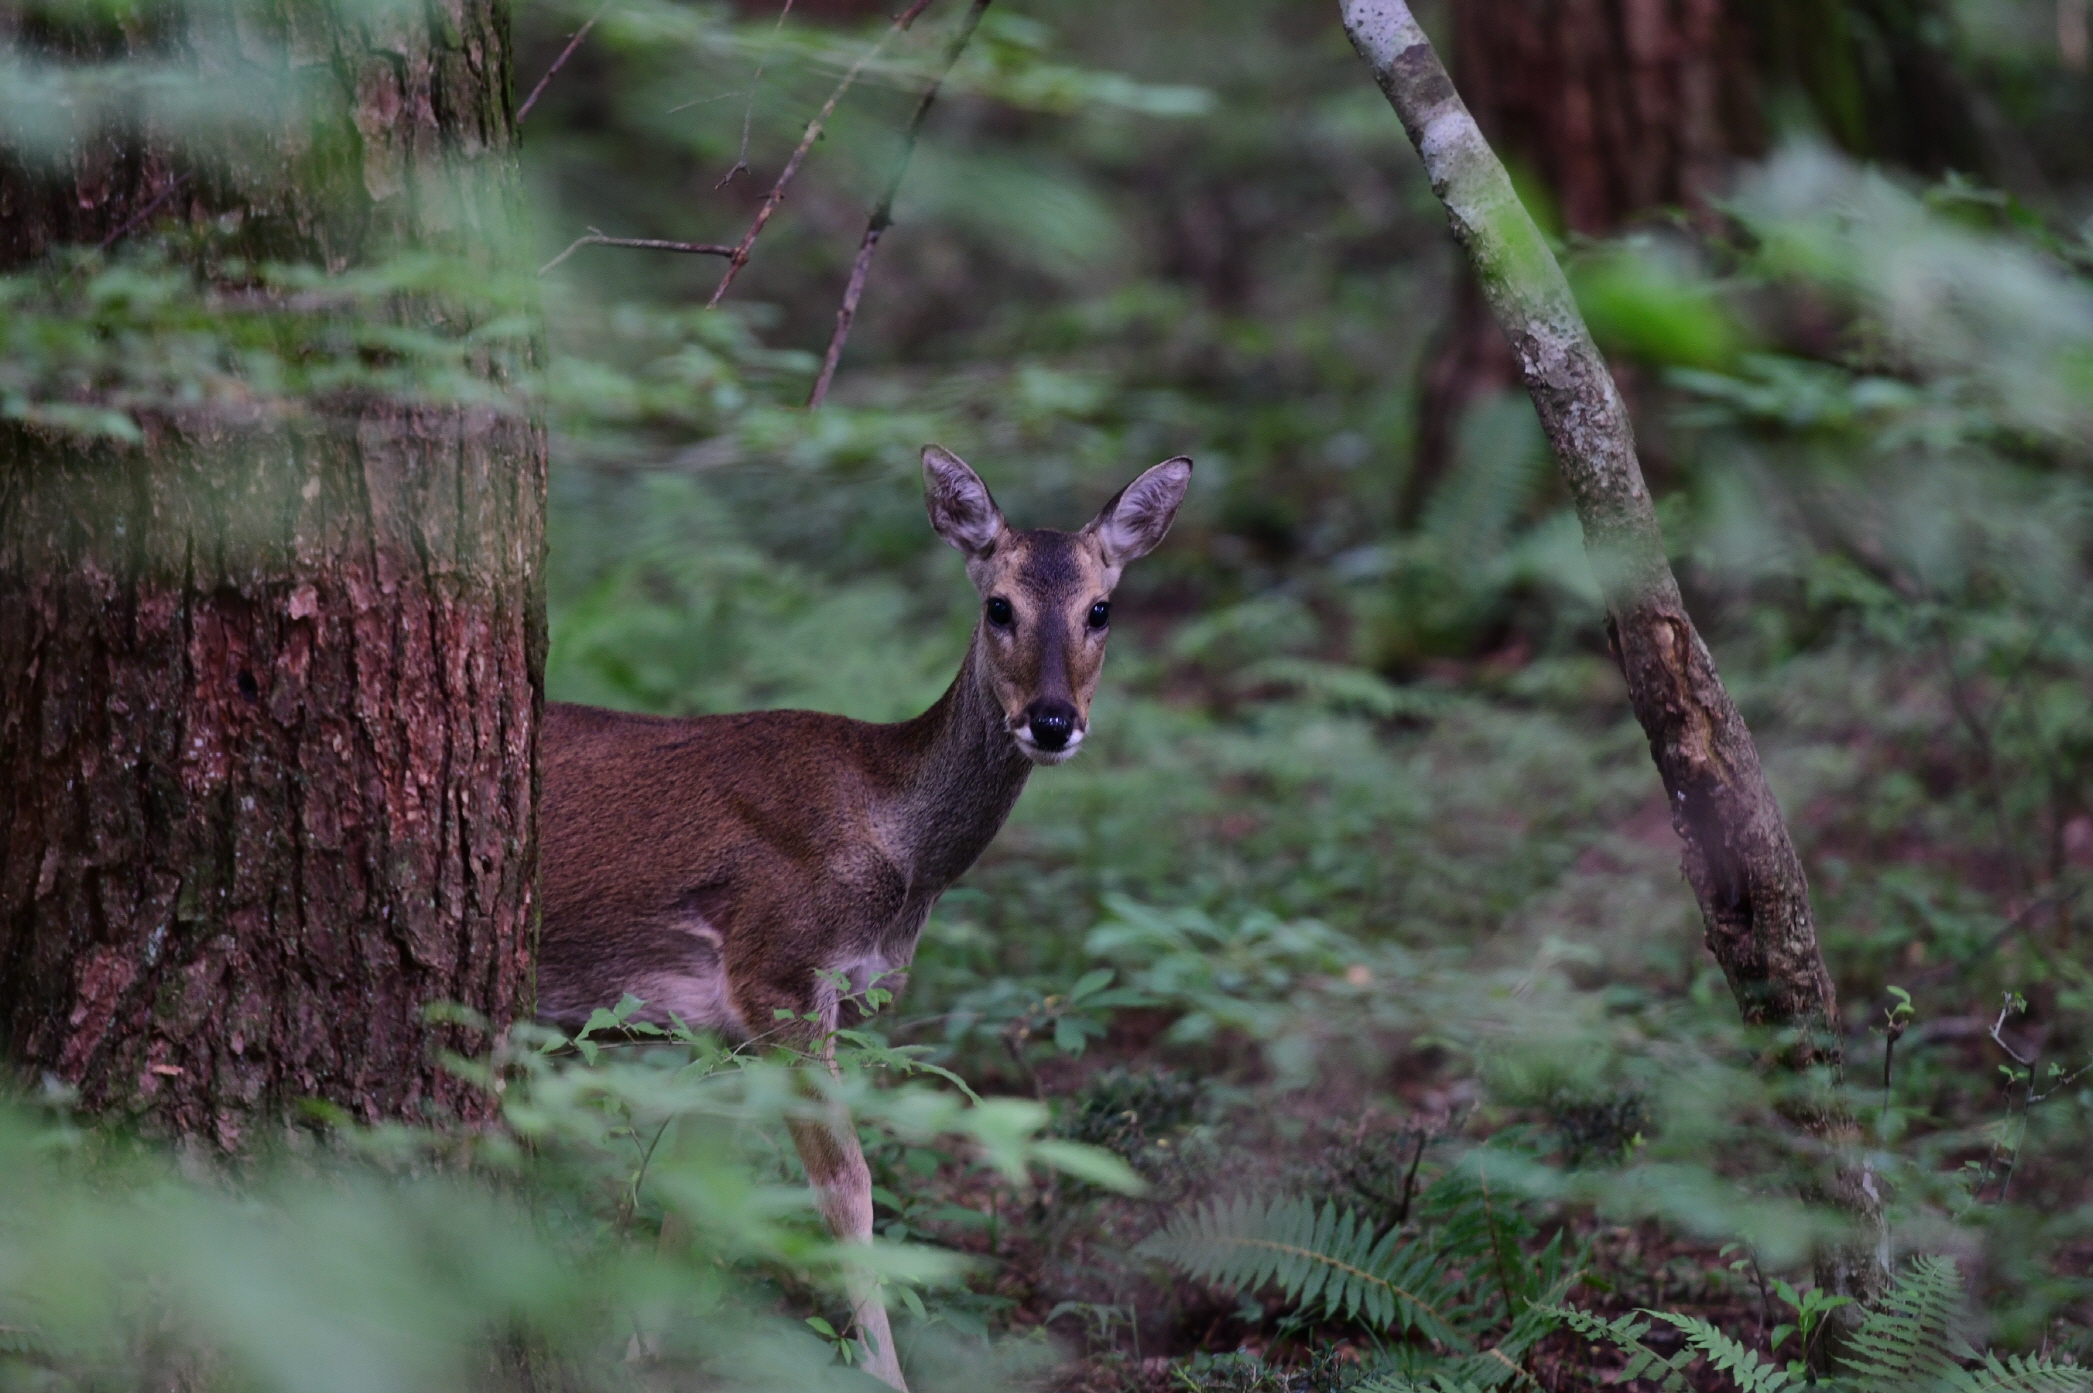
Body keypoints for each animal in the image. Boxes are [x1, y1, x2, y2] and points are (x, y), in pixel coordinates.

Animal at [539, 447, 1197, 1388]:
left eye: (1100, 608)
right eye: (998, 605)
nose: (1051, 720)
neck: (899, 854)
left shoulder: (727, 1019)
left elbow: (698, 1183)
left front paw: (639, 1351)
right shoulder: (776, 971)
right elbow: (847, 1191)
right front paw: (886, 1373)